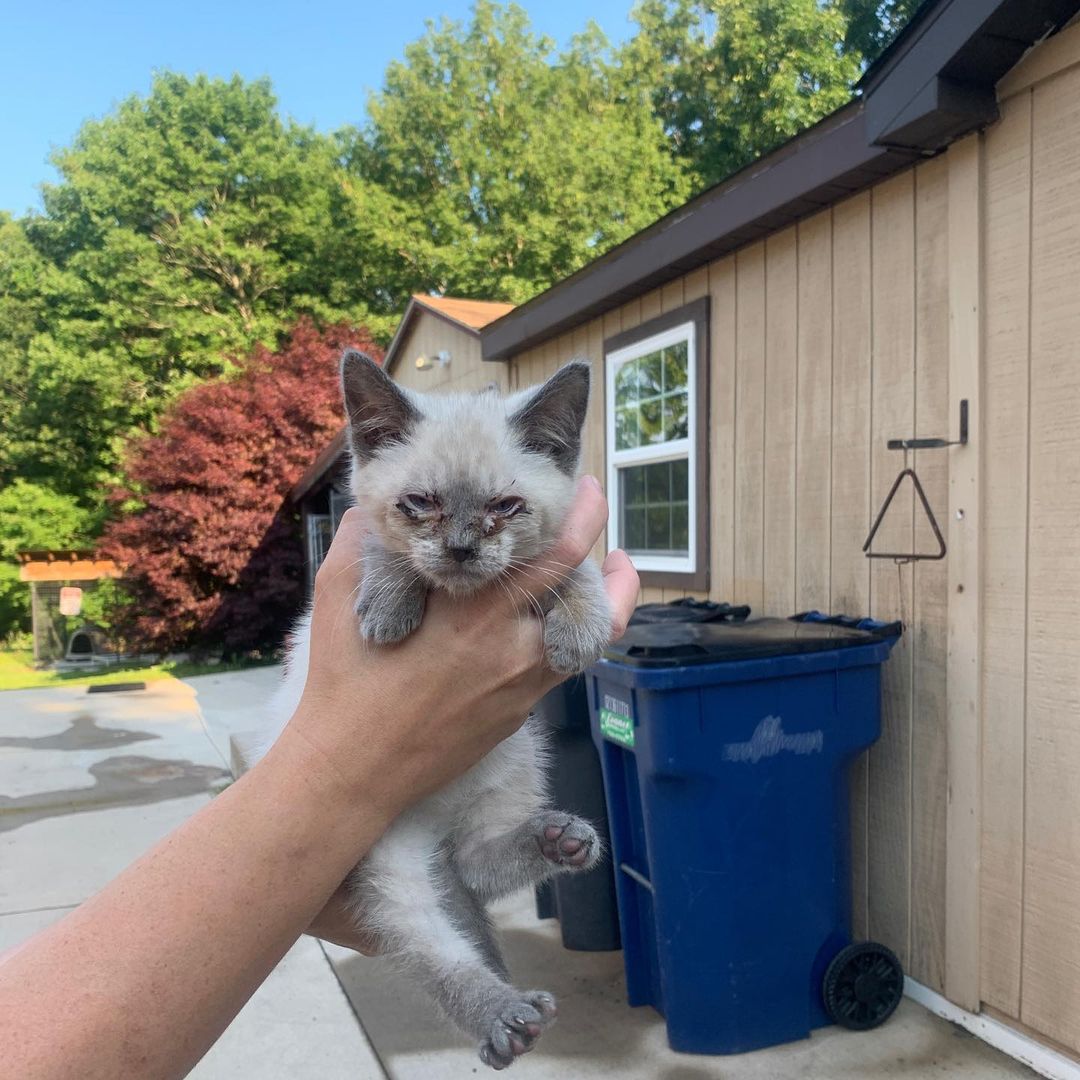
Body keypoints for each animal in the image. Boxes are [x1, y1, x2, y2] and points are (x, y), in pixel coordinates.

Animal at [258, 356, 613, 1071]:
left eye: (504, 507)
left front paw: (581, 630)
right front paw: (389, 604)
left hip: (516, 759)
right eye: (420, 504)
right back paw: (505, 1018)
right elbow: (383, 548)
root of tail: (433, 830)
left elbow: (571, 565)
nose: (459, 550)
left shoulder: (557, 548)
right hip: (387, 865)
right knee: (432, 945)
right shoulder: (354, 532)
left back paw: (560, 839)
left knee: (476, 865)